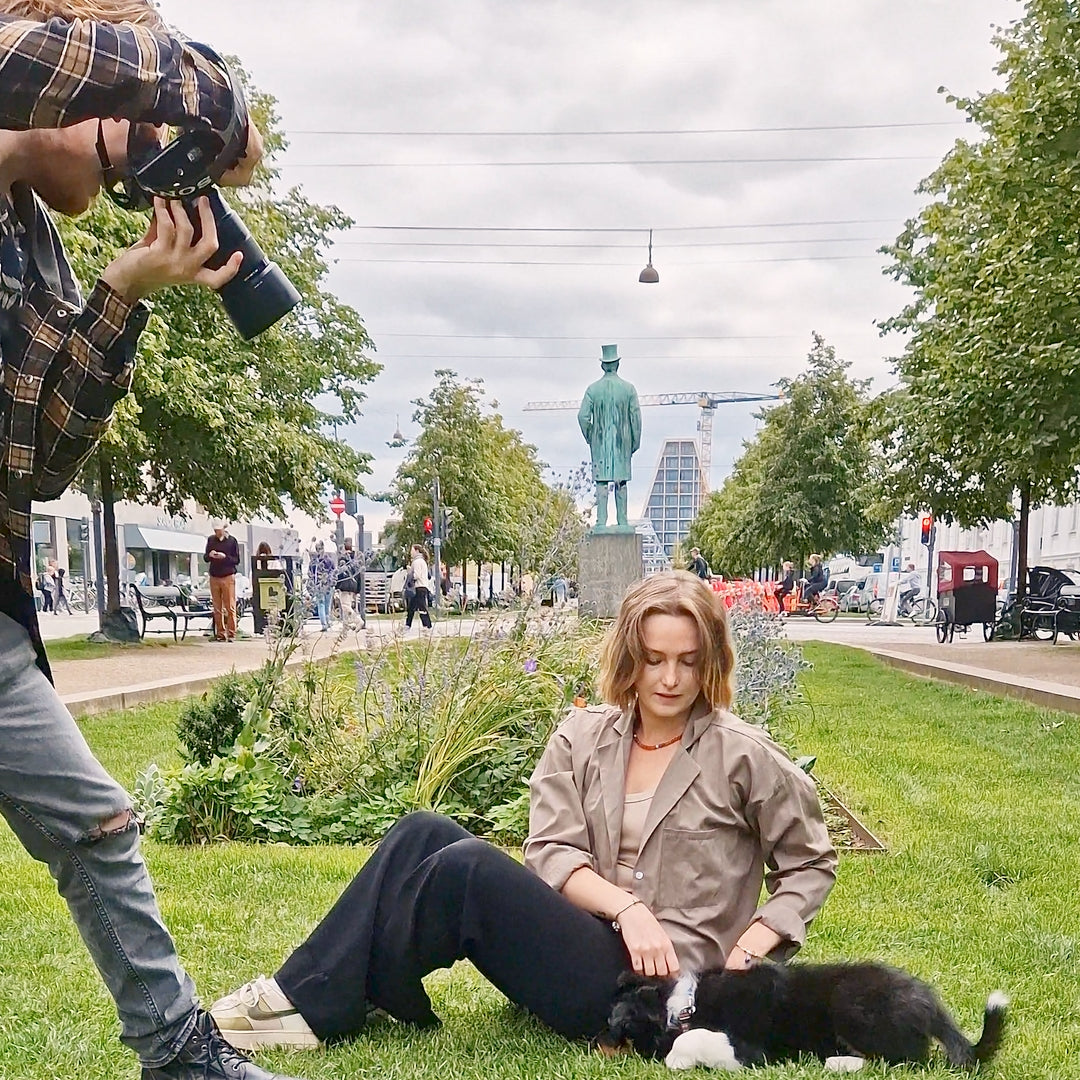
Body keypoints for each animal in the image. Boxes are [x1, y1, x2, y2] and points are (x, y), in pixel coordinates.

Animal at [604, 963, 1006, 1071]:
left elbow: (693, 1038)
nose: (597, 1045)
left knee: (906, 1060)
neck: (685, 1004)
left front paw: (677, 1059)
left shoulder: (751, 1050)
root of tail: (929, 1004)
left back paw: (839, 1063)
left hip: (851, 1007)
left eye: (617, 1029)